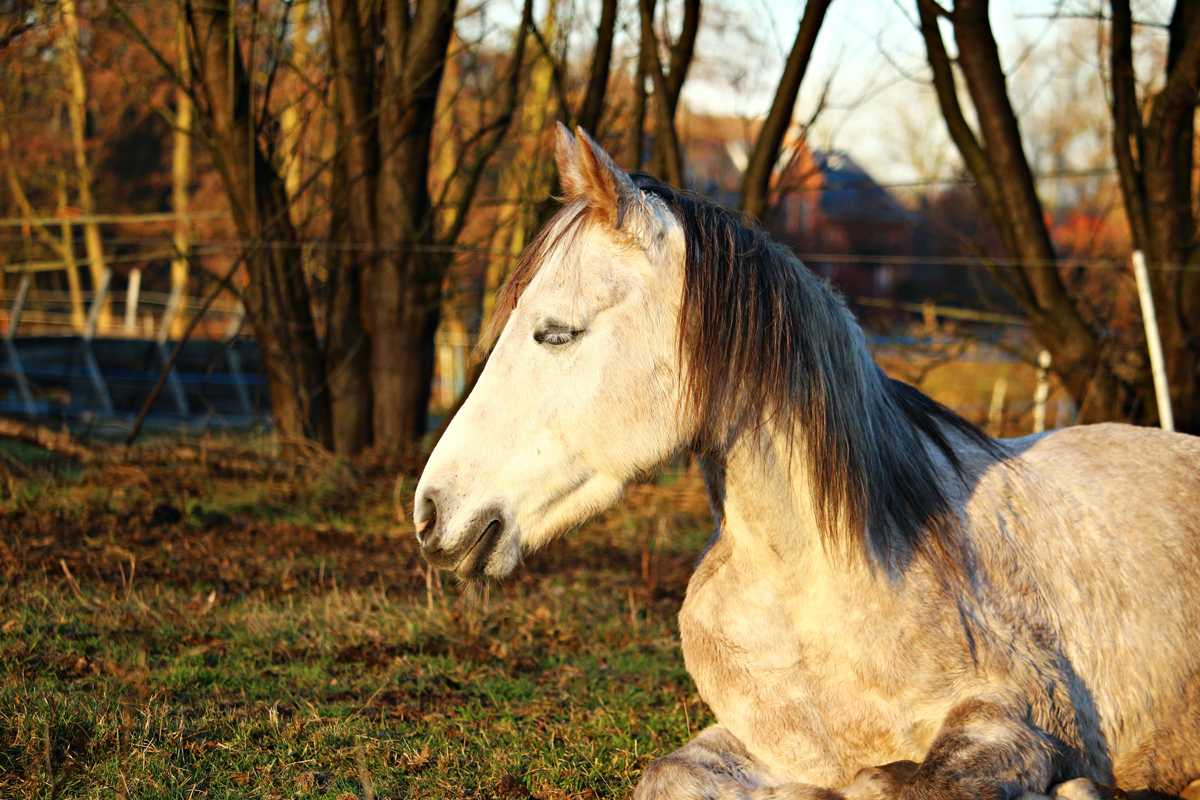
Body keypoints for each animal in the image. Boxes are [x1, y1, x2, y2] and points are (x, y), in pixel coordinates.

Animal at [412, 123, 1200, 800]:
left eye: (556, 332)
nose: (430, 512)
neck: (815, 587)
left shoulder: (1021, 720)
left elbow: (901, 782)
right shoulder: (759, 740)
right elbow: (668, 774)